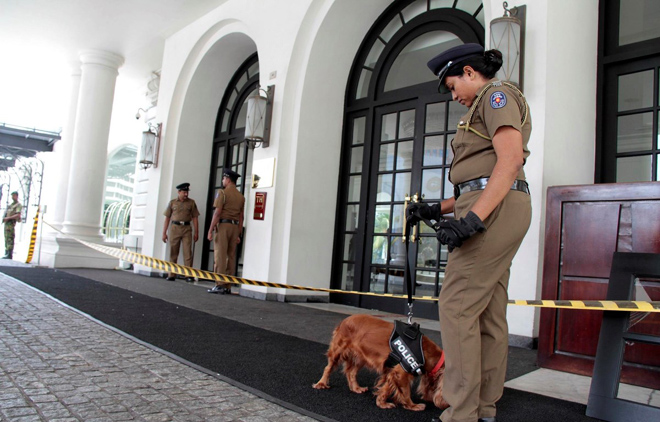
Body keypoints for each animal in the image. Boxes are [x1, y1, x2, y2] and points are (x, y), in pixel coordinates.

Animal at [314, 314, 448, 410]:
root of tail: (345, 320)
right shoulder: (400, 373)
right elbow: (405, 392)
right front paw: (413, 405)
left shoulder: (392, 373)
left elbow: (386, 388)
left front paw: (381, 402)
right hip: (338, 351)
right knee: (328, 368)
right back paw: (321, 383)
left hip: (360, 357)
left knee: (351, 372)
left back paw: (356, 388)